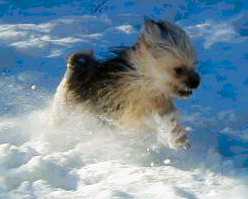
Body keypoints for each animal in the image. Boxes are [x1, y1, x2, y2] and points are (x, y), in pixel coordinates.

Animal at [52, 19, 200, 149]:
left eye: (194, 64)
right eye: (178, 69)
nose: (196, 82)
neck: (145, 77)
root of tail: (74, 69)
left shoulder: (157, 101)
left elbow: (170, 118)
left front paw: (180, 139)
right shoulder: (135, 106)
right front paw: (177, 140)